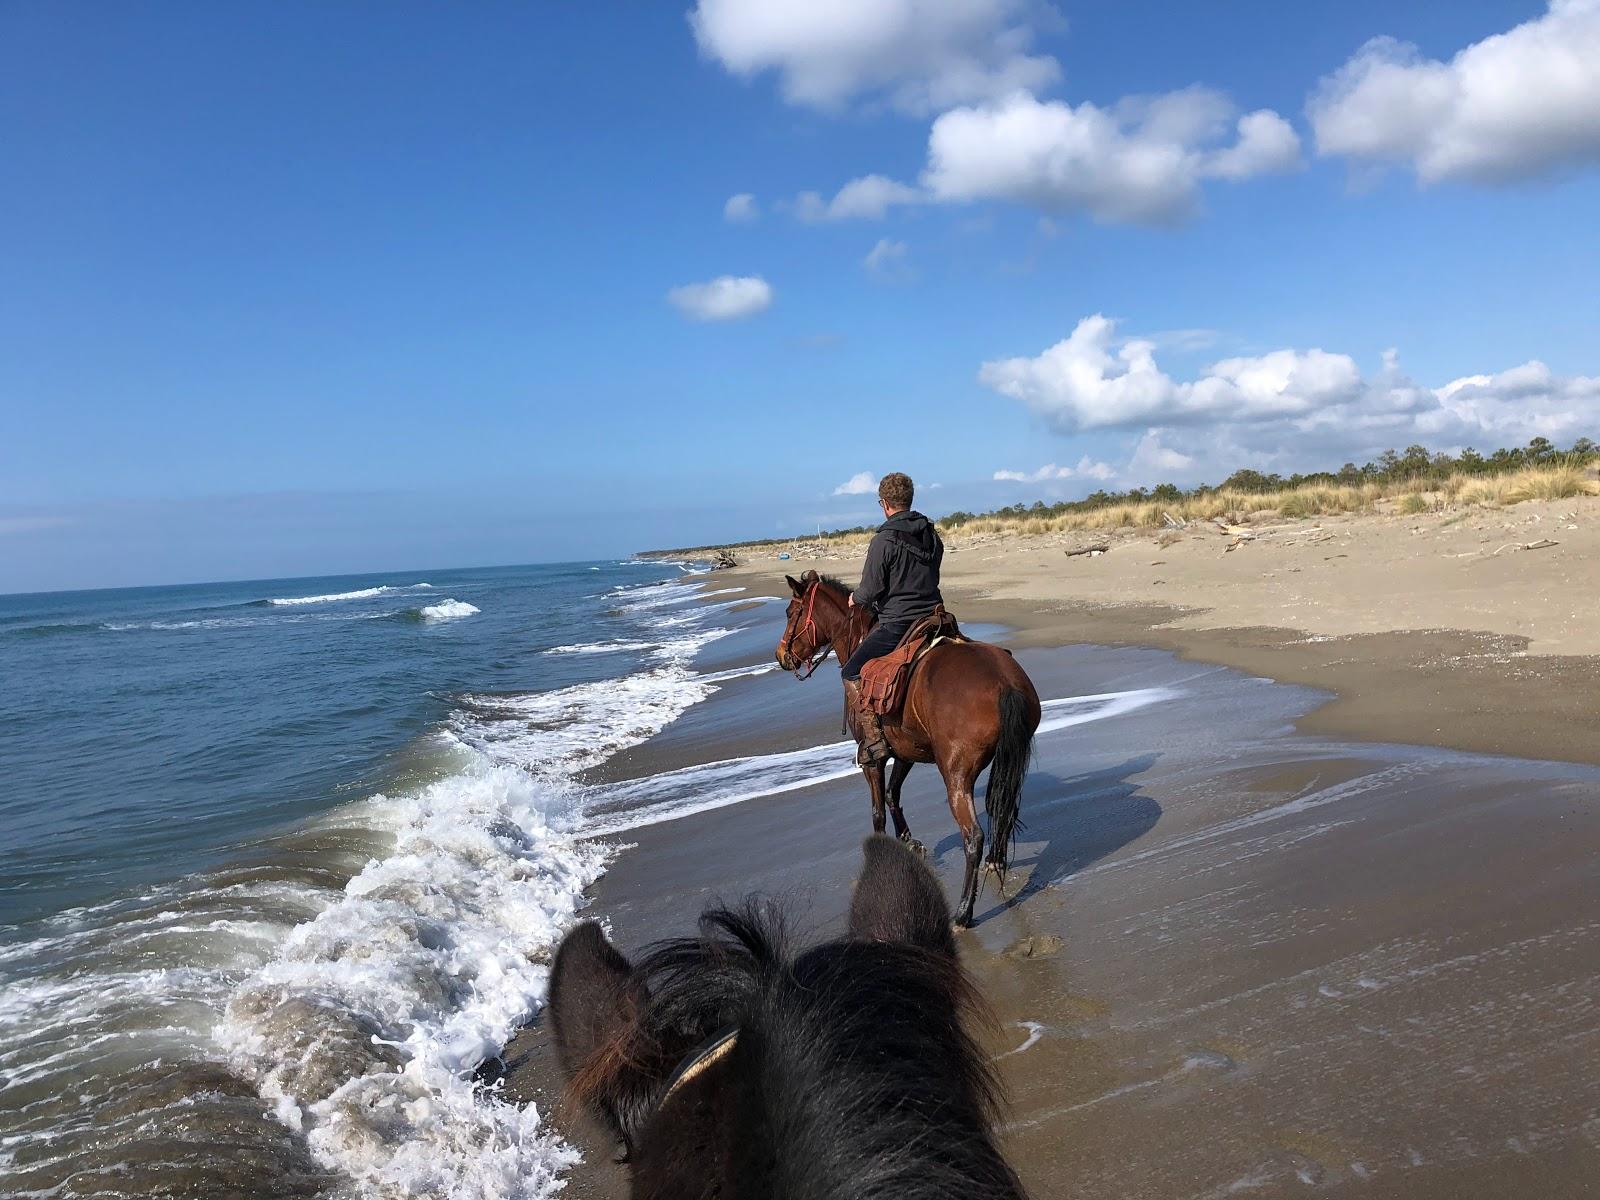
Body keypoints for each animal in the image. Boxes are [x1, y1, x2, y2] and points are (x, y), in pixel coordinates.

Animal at [771, 572, 1043, 928]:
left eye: (791, 612)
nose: (781, 655)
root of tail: (1004, 683)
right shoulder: (905, 750)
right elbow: (893, 794)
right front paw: (908, 841)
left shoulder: (872, 758)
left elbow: (877, 809)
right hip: (1007, 761)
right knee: (1004, 811)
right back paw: (995, 865)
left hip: (956, 774)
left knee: (973, 836)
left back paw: (963, 912)